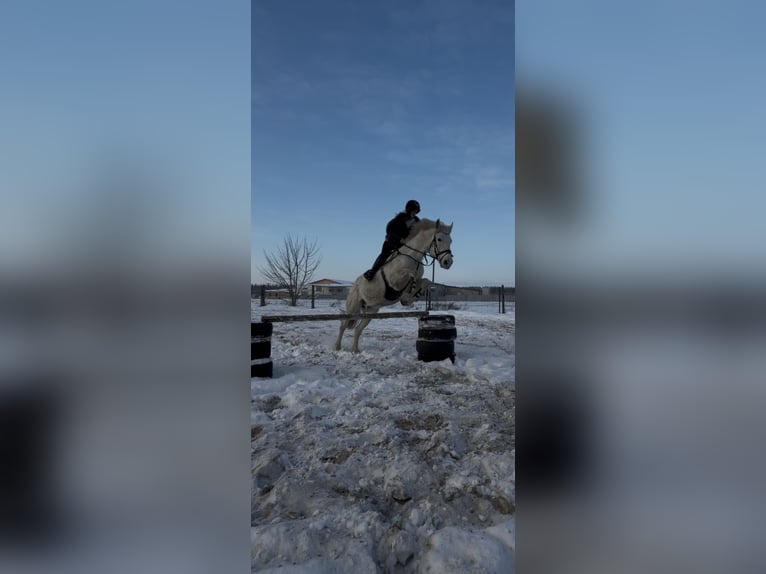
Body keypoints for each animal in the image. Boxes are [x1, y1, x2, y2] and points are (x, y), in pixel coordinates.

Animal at [335, 218, 454, 353]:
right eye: (439, 239)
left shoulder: (418, 279)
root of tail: (353, 285)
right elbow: (410, 274)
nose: (448, 262)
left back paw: (355, 350)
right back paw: (337, 347)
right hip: (353, 307)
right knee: (343, 324)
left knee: (358, 329)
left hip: (371, 310)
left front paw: (409, 298)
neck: (413, 257)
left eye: (451, 241)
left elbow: (425, 281)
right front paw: (407, 295)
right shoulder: (394, 281)